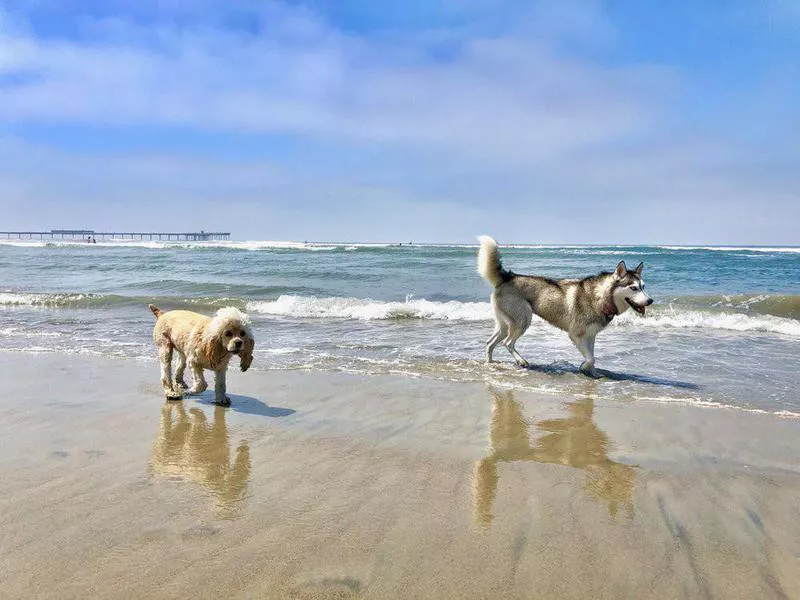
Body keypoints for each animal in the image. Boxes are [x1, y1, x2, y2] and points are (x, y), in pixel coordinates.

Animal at [476, 234, 648, 376]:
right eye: (633, 288)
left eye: (643, 287)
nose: (650, 301)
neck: (599, 297)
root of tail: (508, 277)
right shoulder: (576, 335)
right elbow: (590, 358)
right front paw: (583, 367)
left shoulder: (591, 336)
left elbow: (592, 356)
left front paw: (592, 373)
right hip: (523, 320)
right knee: (507, 343)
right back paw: (521, 361)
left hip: (505, 325)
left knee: (490, 343)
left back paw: (489, 364)